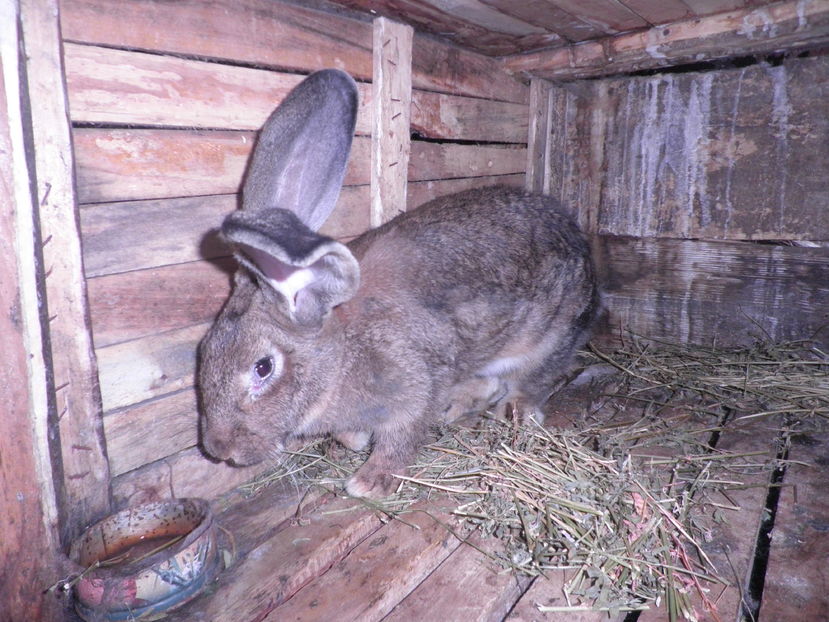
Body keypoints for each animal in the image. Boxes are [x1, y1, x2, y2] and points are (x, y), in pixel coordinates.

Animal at [197, 69, 600, 498]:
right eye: (204, 352)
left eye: (263, 368)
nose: (218, 449)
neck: (340, 356)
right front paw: (354, 440)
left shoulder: (415, 386)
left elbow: (403, 436)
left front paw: (369, 482)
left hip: (552, 333)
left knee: (535, 377)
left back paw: (514, 409)